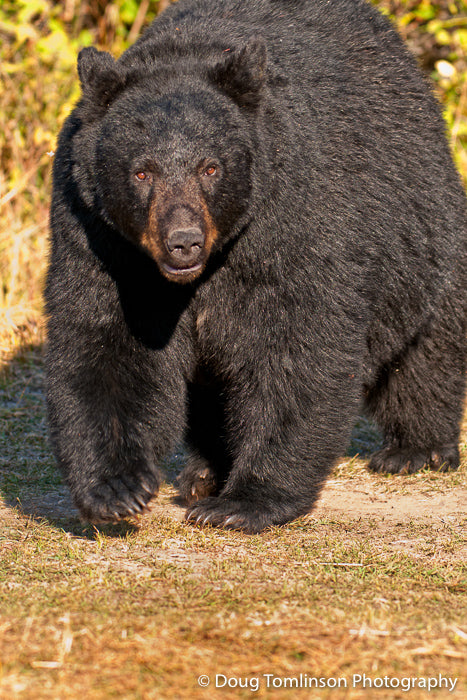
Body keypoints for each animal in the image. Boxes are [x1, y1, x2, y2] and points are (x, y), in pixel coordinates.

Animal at [45, 0, 467, 533]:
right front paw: (116, 488)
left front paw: (246, 501)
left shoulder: (295, 219)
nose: (183, 242)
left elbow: (297, 344)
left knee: (427, 348)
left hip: (422, 233)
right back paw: (205, 472)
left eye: (211, 167)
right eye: (141, 172)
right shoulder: (99, 238)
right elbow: (107, 340)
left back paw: (416, 449)